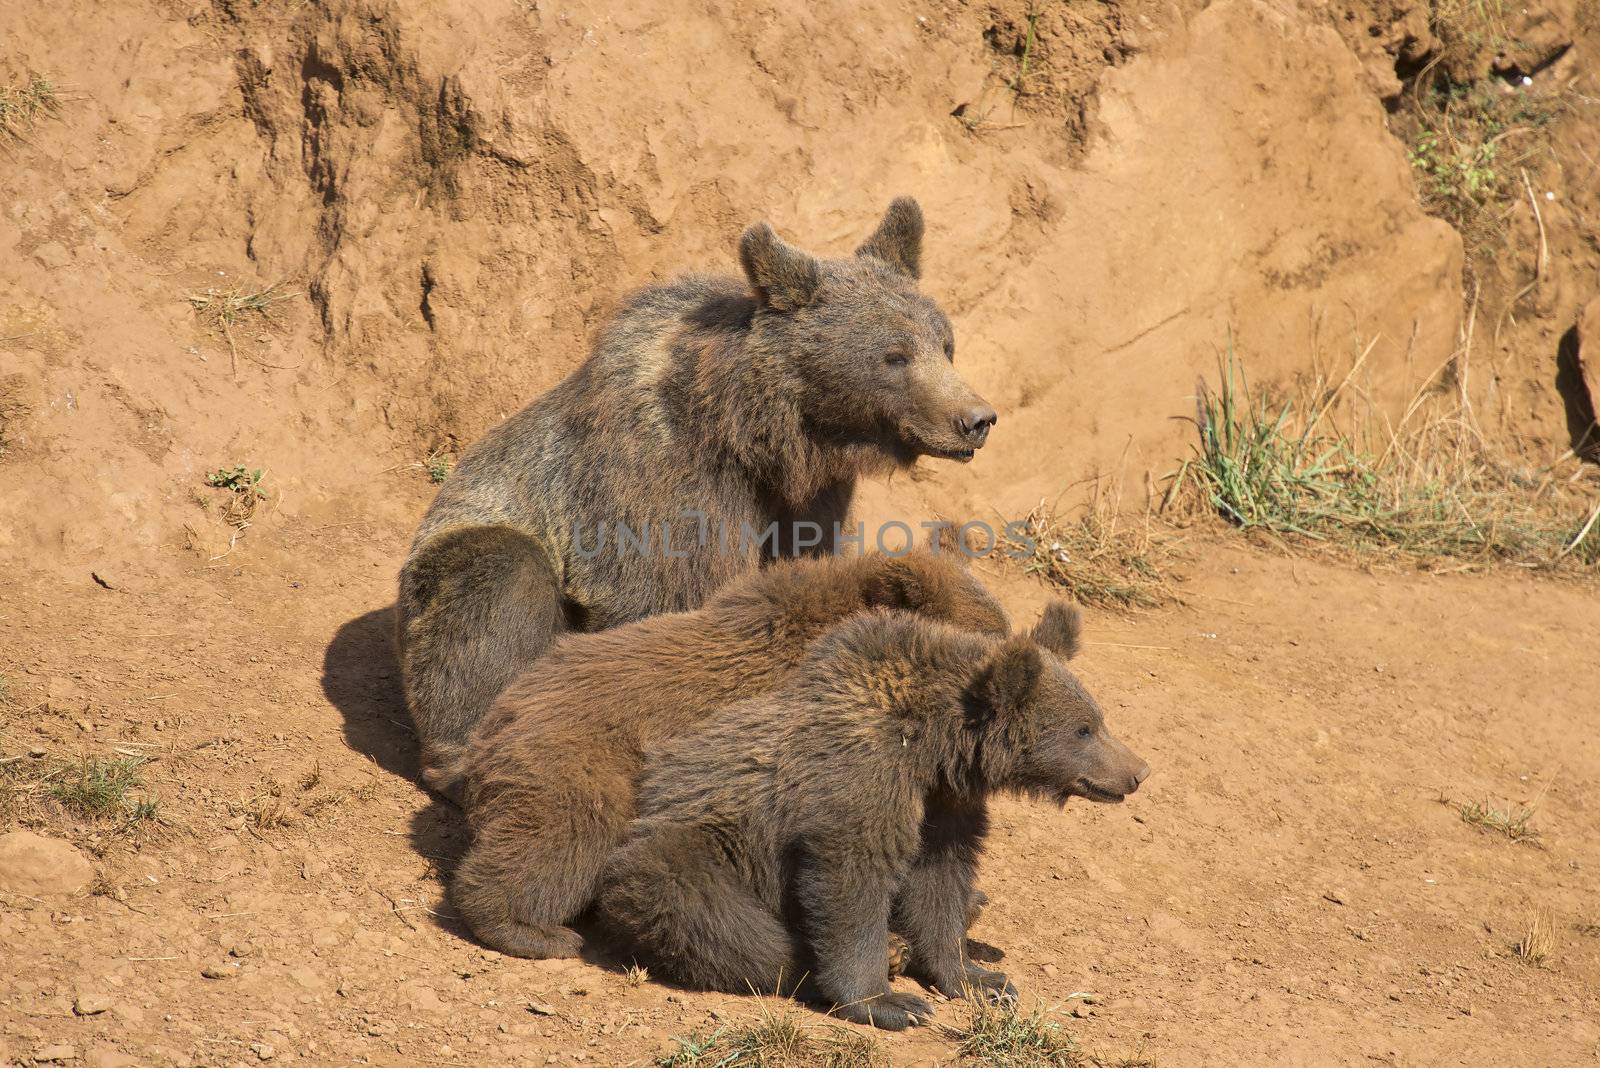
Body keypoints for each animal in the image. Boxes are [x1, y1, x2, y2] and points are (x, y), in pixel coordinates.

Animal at [395, 198, 992, 783]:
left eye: (945, 345)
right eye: (895, 355)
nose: (975, 419)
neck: (755, 436)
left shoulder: (809, 498)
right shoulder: (662, 484)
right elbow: (671, 597)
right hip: (458, 554)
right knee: (496, 585)